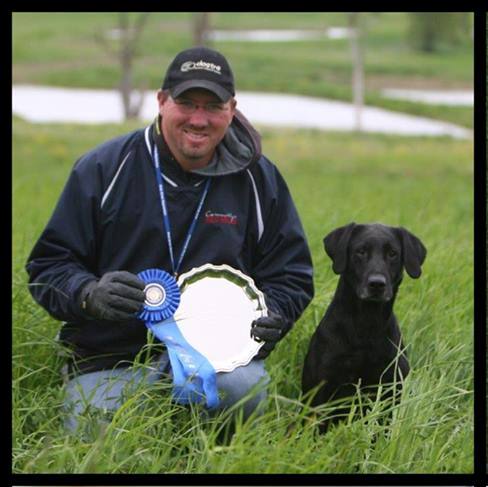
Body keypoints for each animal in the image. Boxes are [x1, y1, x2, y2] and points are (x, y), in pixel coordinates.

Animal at [304, 223, 426, 432]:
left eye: (393, 253)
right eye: (360, 251)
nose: (377, 284)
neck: (366, 326)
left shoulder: (389, 389)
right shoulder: (323, 388)